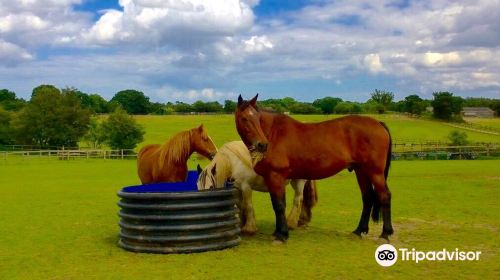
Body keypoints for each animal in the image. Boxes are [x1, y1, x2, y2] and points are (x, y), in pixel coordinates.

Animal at [234, 94, 394, 243]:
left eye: (257, 118)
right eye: (244, 118)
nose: (262, 145)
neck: (274, 133)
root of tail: (378, 123)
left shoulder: (276, 176)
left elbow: (279, 205)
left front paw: (282, 235)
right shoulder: (271, 178)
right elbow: (276, 204)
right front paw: (278, 232)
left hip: (375, 172)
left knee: (384, 196)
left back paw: (385, 234)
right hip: (361, 171)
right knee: (367, 197)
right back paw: (359, 230)